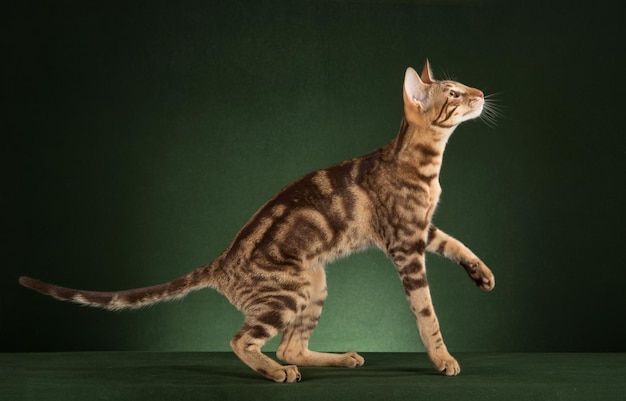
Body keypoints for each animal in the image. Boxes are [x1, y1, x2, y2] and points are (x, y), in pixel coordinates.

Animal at [20, 59, 492, 382]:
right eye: (453, 93)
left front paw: (482, 274)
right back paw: (274, 371)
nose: (482, 92)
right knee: (244, 341)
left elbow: (458, 244)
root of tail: (221, 262)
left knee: (290, 348)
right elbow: (427, 313)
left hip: (314, 282)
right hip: (291, 290)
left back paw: (337, 358)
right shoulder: (405, 244)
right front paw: (443, 359)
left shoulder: (422, 229)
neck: (423, 164)